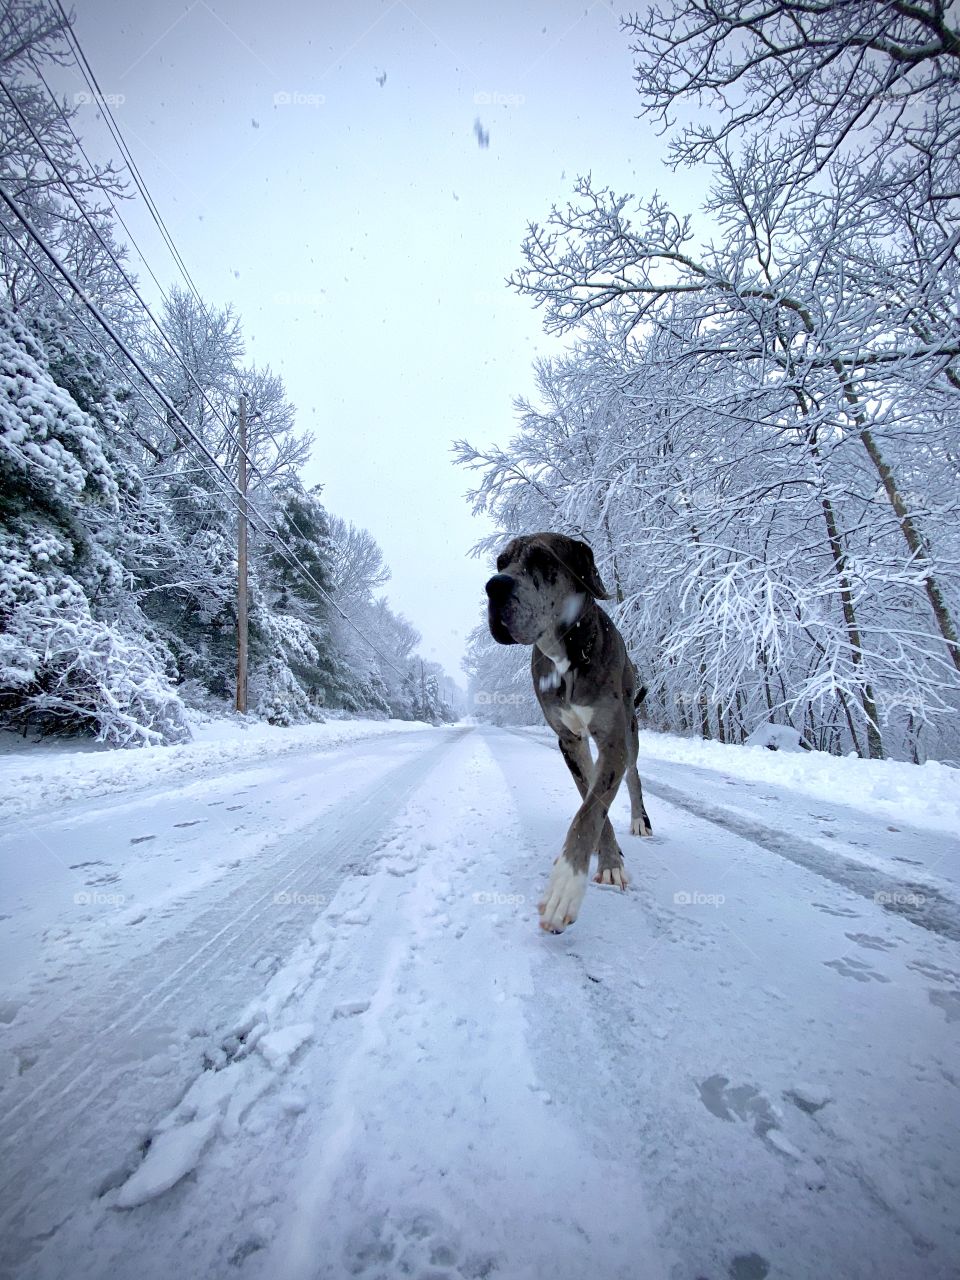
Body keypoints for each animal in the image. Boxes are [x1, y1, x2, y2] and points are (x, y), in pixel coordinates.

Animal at [488, 527, 655, 931]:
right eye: (501, 562)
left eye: (543, 560)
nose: (493, 586)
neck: (567, 656)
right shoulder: (569, 740)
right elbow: (590, 800)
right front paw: (608, 857)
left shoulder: (612, 739)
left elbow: (590, 810)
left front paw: (566, 884)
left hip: (630, 728)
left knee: (633, 775)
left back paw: (639, 820)